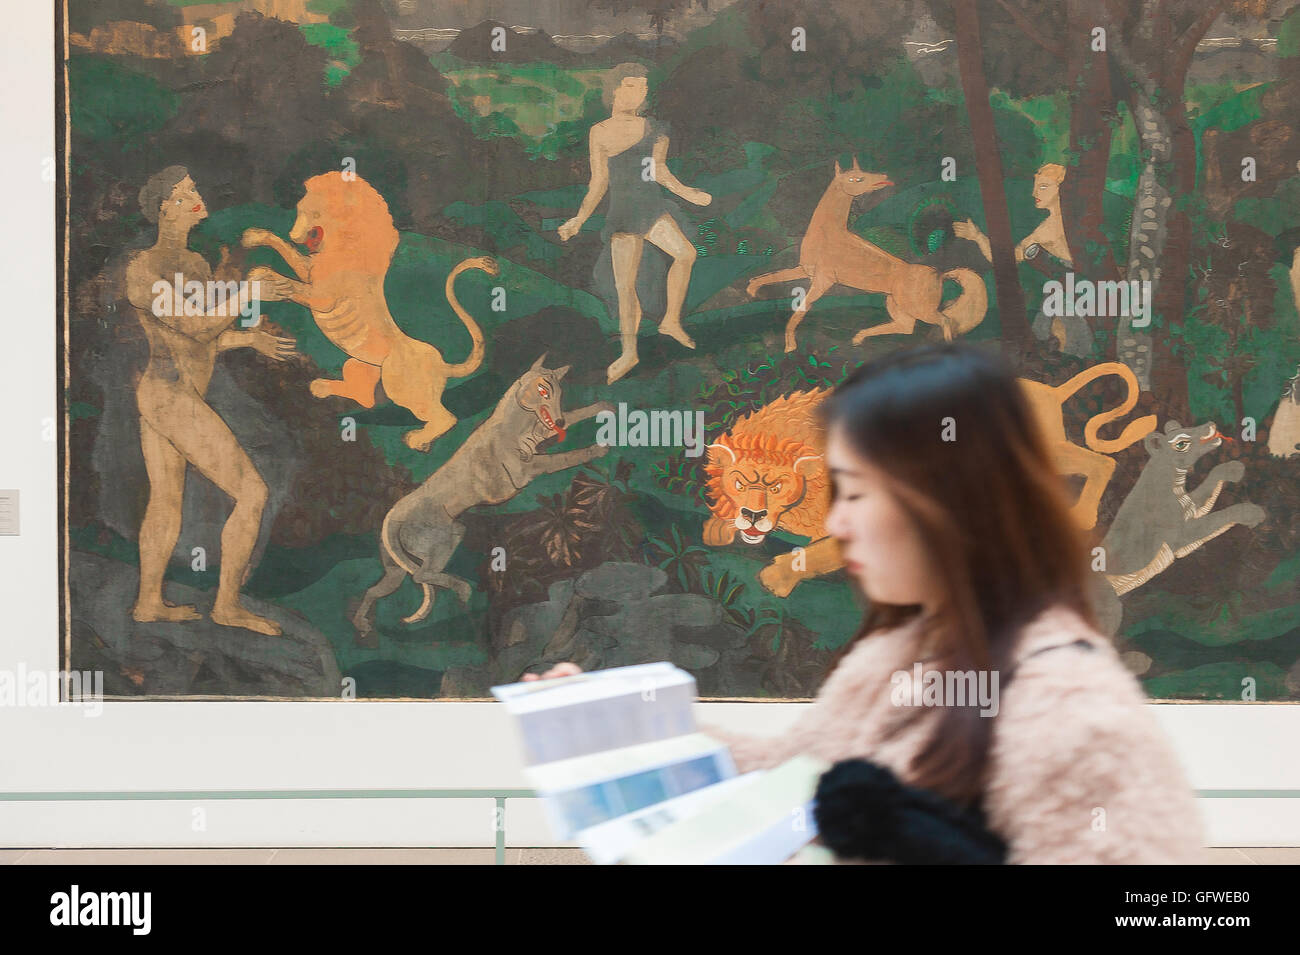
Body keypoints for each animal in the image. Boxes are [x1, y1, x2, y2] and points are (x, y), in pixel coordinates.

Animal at [702, 384, 842, 595]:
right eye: (739, 485)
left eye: (776, 488)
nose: (753, 515)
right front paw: (716, 528)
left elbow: (821, 551)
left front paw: (776, 577)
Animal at [743, 160, 982, 356]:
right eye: (856, 178)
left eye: (865, 173)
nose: (884, 177)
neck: (828, 234)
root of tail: (940, 274)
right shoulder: (804, 270)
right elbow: (771, 276)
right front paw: (752, 290)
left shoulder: (823, 280)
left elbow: (801, 308)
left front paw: (790, 346)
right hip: (894, 303)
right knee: (906, 326)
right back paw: (858, 338)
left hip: (920, 308)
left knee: (944, 320)